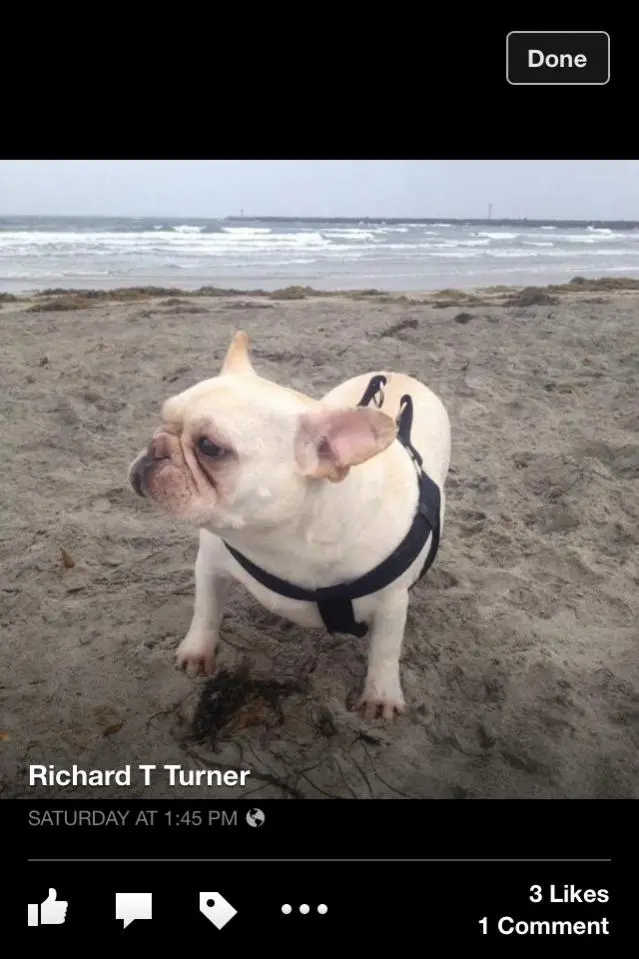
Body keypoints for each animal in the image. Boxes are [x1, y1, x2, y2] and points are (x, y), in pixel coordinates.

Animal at [128, 330, 451, 720]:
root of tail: (396, 374)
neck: (279, 538)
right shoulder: (210, 566)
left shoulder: (392, 604)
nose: (155, 446)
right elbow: (205, 612)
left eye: (209, 447)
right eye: (162, 418)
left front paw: (381, 696)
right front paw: (196, 651)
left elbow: (385, 652)